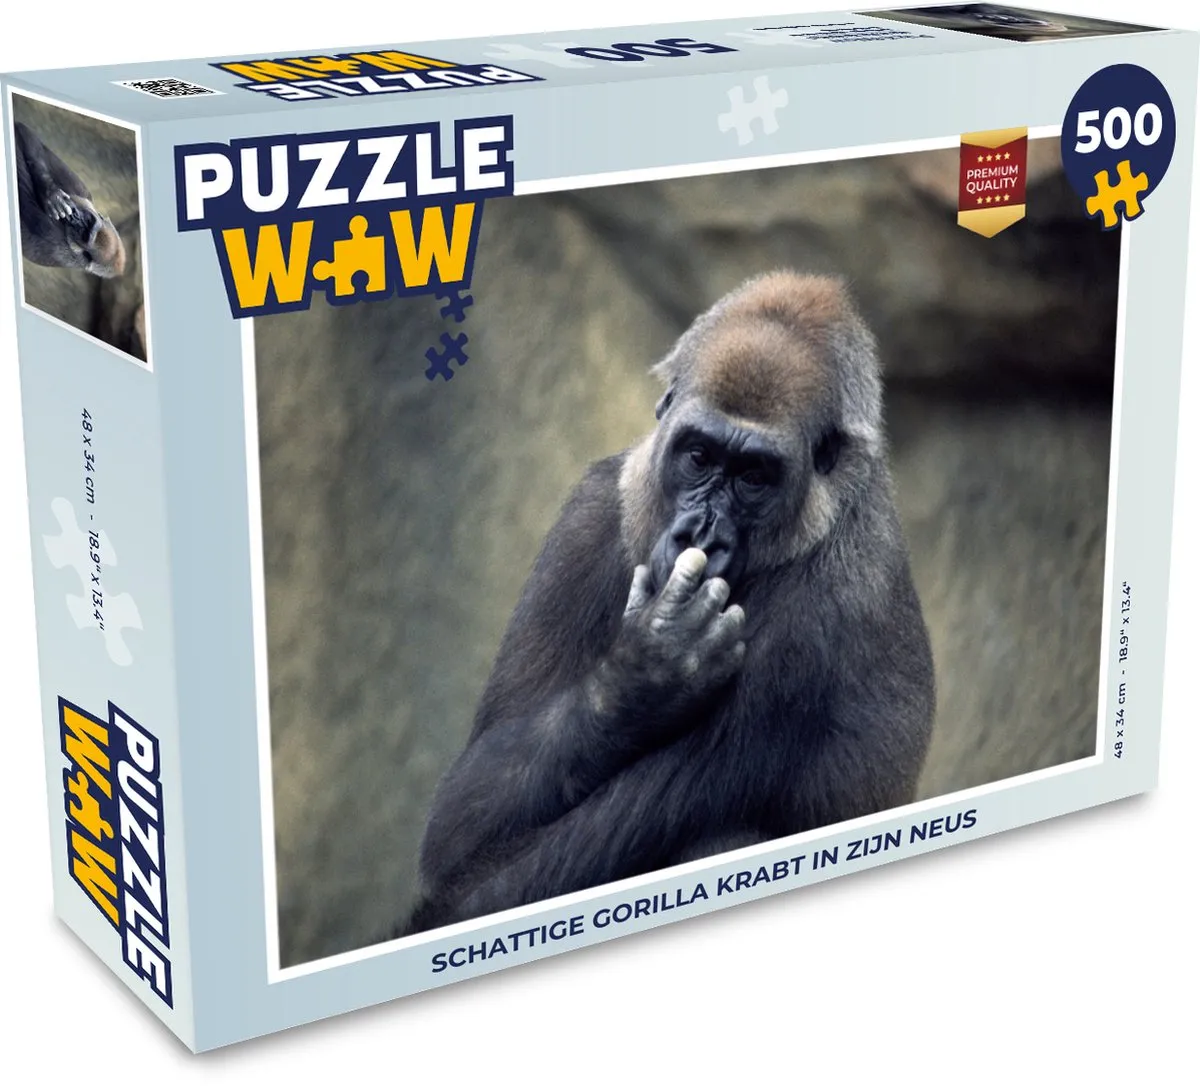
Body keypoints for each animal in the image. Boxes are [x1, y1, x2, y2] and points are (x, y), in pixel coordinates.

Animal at [14, 121, 126, 278]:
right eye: (89, 222)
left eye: (85, 234)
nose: (76, 217)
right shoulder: (83, 191)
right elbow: (30, 140)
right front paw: (52, 194)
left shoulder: (57, 242)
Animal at [404, 271, 935, 934]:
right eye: (699, 456)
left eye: (755, 476)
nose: (699, 536)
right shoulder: (591, 509)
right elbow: (462, 815)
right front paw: (646, 674)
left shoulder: (818, 615)